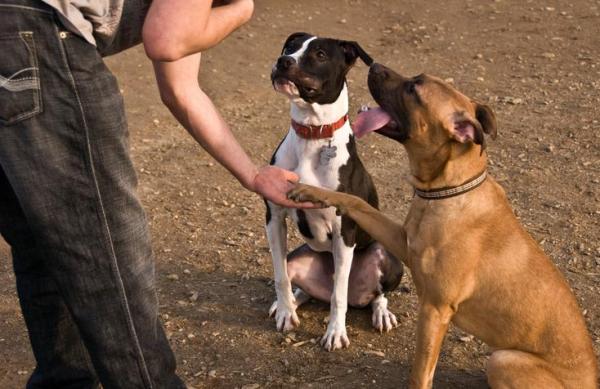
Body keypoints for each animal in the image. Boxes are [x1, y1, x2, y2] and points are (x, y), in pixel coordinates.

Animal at [266, 31, 404, 350]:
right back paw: (290, 302)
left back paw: (381, 313)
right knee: (301, 285)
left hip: (387, 255)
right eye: (290, 46)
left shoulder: (346, 229)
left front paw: (335, 333)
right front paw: (286, 311)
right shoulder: (274, 217)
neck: (313, 134)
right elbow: (280, 276)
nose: (283, 61)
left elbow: (338, 296)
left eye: (319, 54)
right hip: (298, 257)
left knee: (374, 295)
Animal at [288, 63, 596, 388]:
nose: (373, 65)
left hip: (502, 359)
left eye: (413, 89)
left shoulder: (434, 310)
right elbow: (355, 201)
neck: (449, 190)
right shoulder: (403, 241)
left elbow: (420, 374)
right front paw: (309, 190)